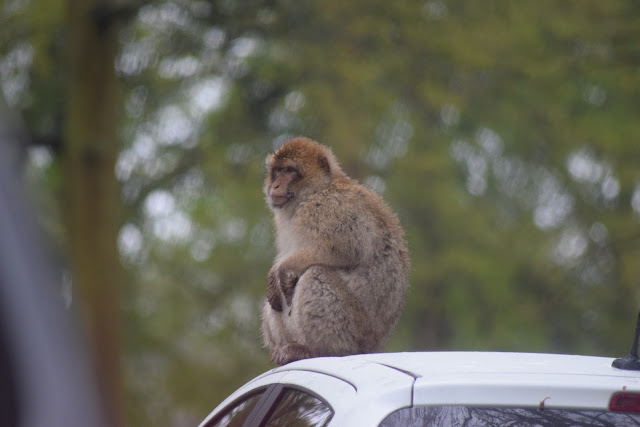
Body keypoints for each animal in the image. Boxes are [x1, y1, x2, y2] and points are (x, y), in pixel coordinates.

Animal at [261, 137, 410, 365]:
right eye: (277, 171)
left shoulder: (329, 209)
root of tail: (372, 347)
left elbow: (345, 250)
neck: (316, 190)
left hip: (354, 332)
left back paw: (317, 350)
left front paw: (284, 268)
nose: (275, 185)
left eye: (290, 170)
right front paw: (273, 277)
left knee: (316, 274)